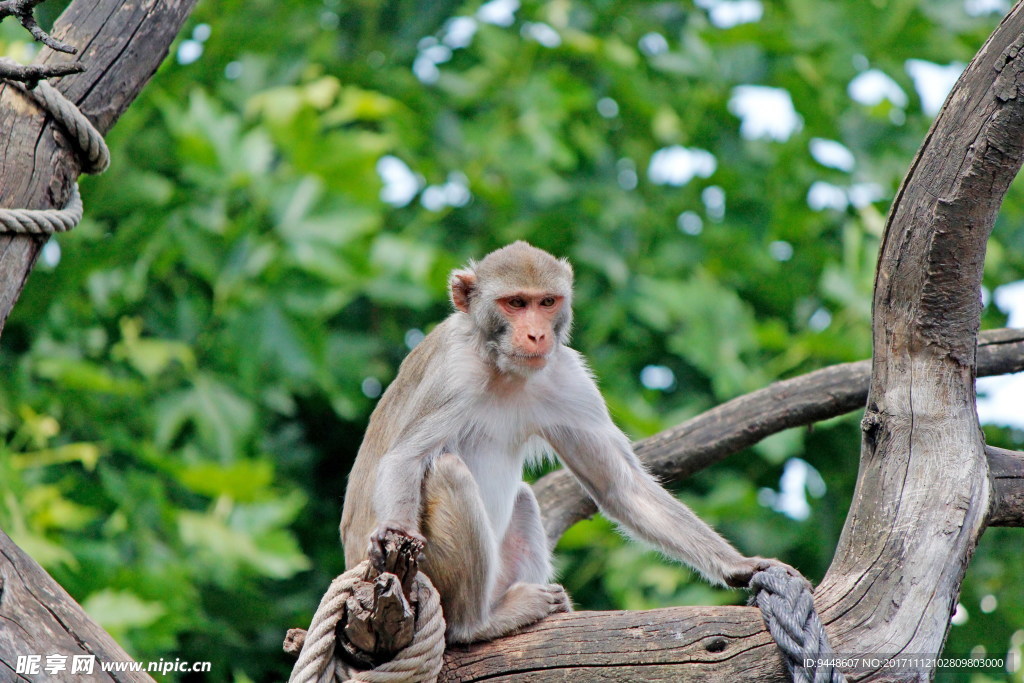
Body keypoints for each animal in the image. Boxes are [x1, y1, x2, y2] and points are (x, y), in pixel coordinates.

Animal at [339, 241, 794, 647]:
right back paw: (477, 624)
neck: (499, 365)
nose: (536, 334)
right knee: (447, 471)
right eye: (515, 303)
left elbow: (618, 484)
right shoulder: (453, 373)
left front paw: (739, 566)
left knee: (522, 498)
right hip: (428, 576)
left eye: (546, 302)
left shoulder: (566, 376)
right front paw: (393, 530)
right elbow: (406, 457)